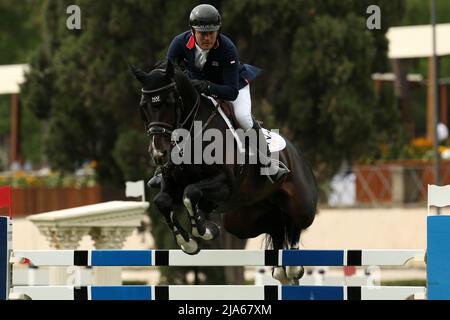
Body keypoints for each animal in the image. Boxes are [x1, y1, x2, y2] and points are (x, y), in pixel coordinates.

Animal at [132, 60, 318, 282]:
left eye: (169, 102)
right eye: (143, 106)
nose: (159, 153)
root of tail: (296, 153)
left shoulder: (224, 184)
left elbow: (190, 193)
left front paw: (204, 231)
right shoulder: (171, 185)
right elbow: (163, 201)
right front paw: (190, 241)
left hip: (301, 203)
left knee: (295, 222)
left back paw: (293, 267)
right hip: (242, 219)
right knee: (276, 226)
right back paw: (281, 271)